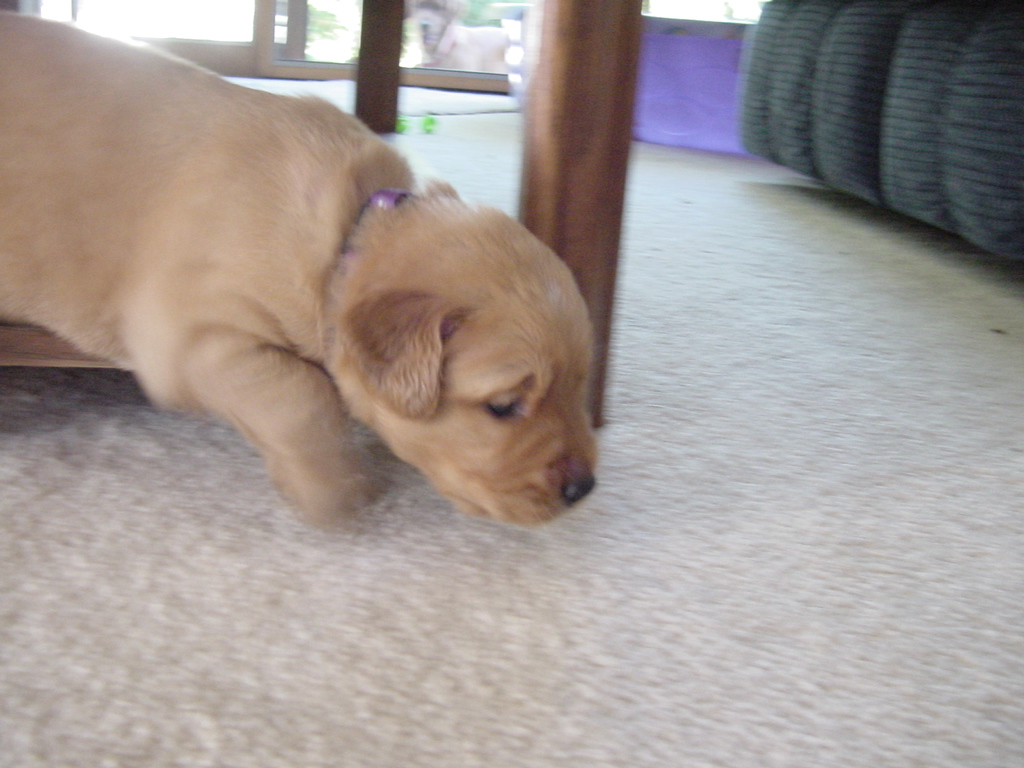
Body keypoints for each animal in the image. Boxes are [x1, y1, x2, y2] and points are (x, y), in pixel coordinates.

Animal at [0, 13, 598, 528]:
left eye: (580, 381)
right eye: (503, 406)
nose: (584, 488)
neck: (349, 233)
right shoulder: (187, 333)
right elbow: (301, 394)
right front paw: (332, 488)